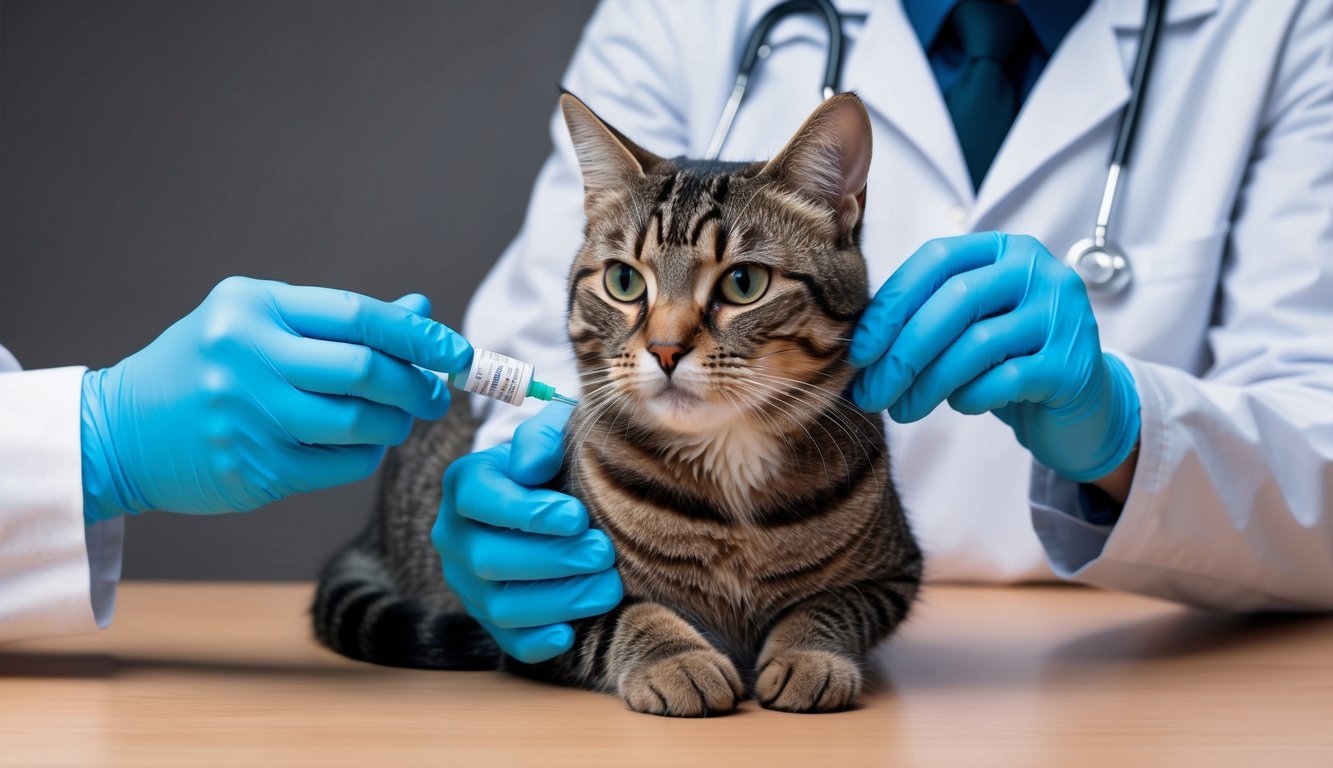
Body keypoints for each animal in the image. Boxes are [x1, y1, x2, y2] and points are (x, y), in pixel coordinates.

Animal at [313, 93, 922, 714]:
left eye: (744, 283)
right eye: (625, 281)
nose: (666, 349)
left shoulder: (892, 576)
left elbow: (829, 607)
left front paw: (808, 656)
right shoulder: (536, 615)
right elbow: (623, 616)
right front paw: (679, 659)